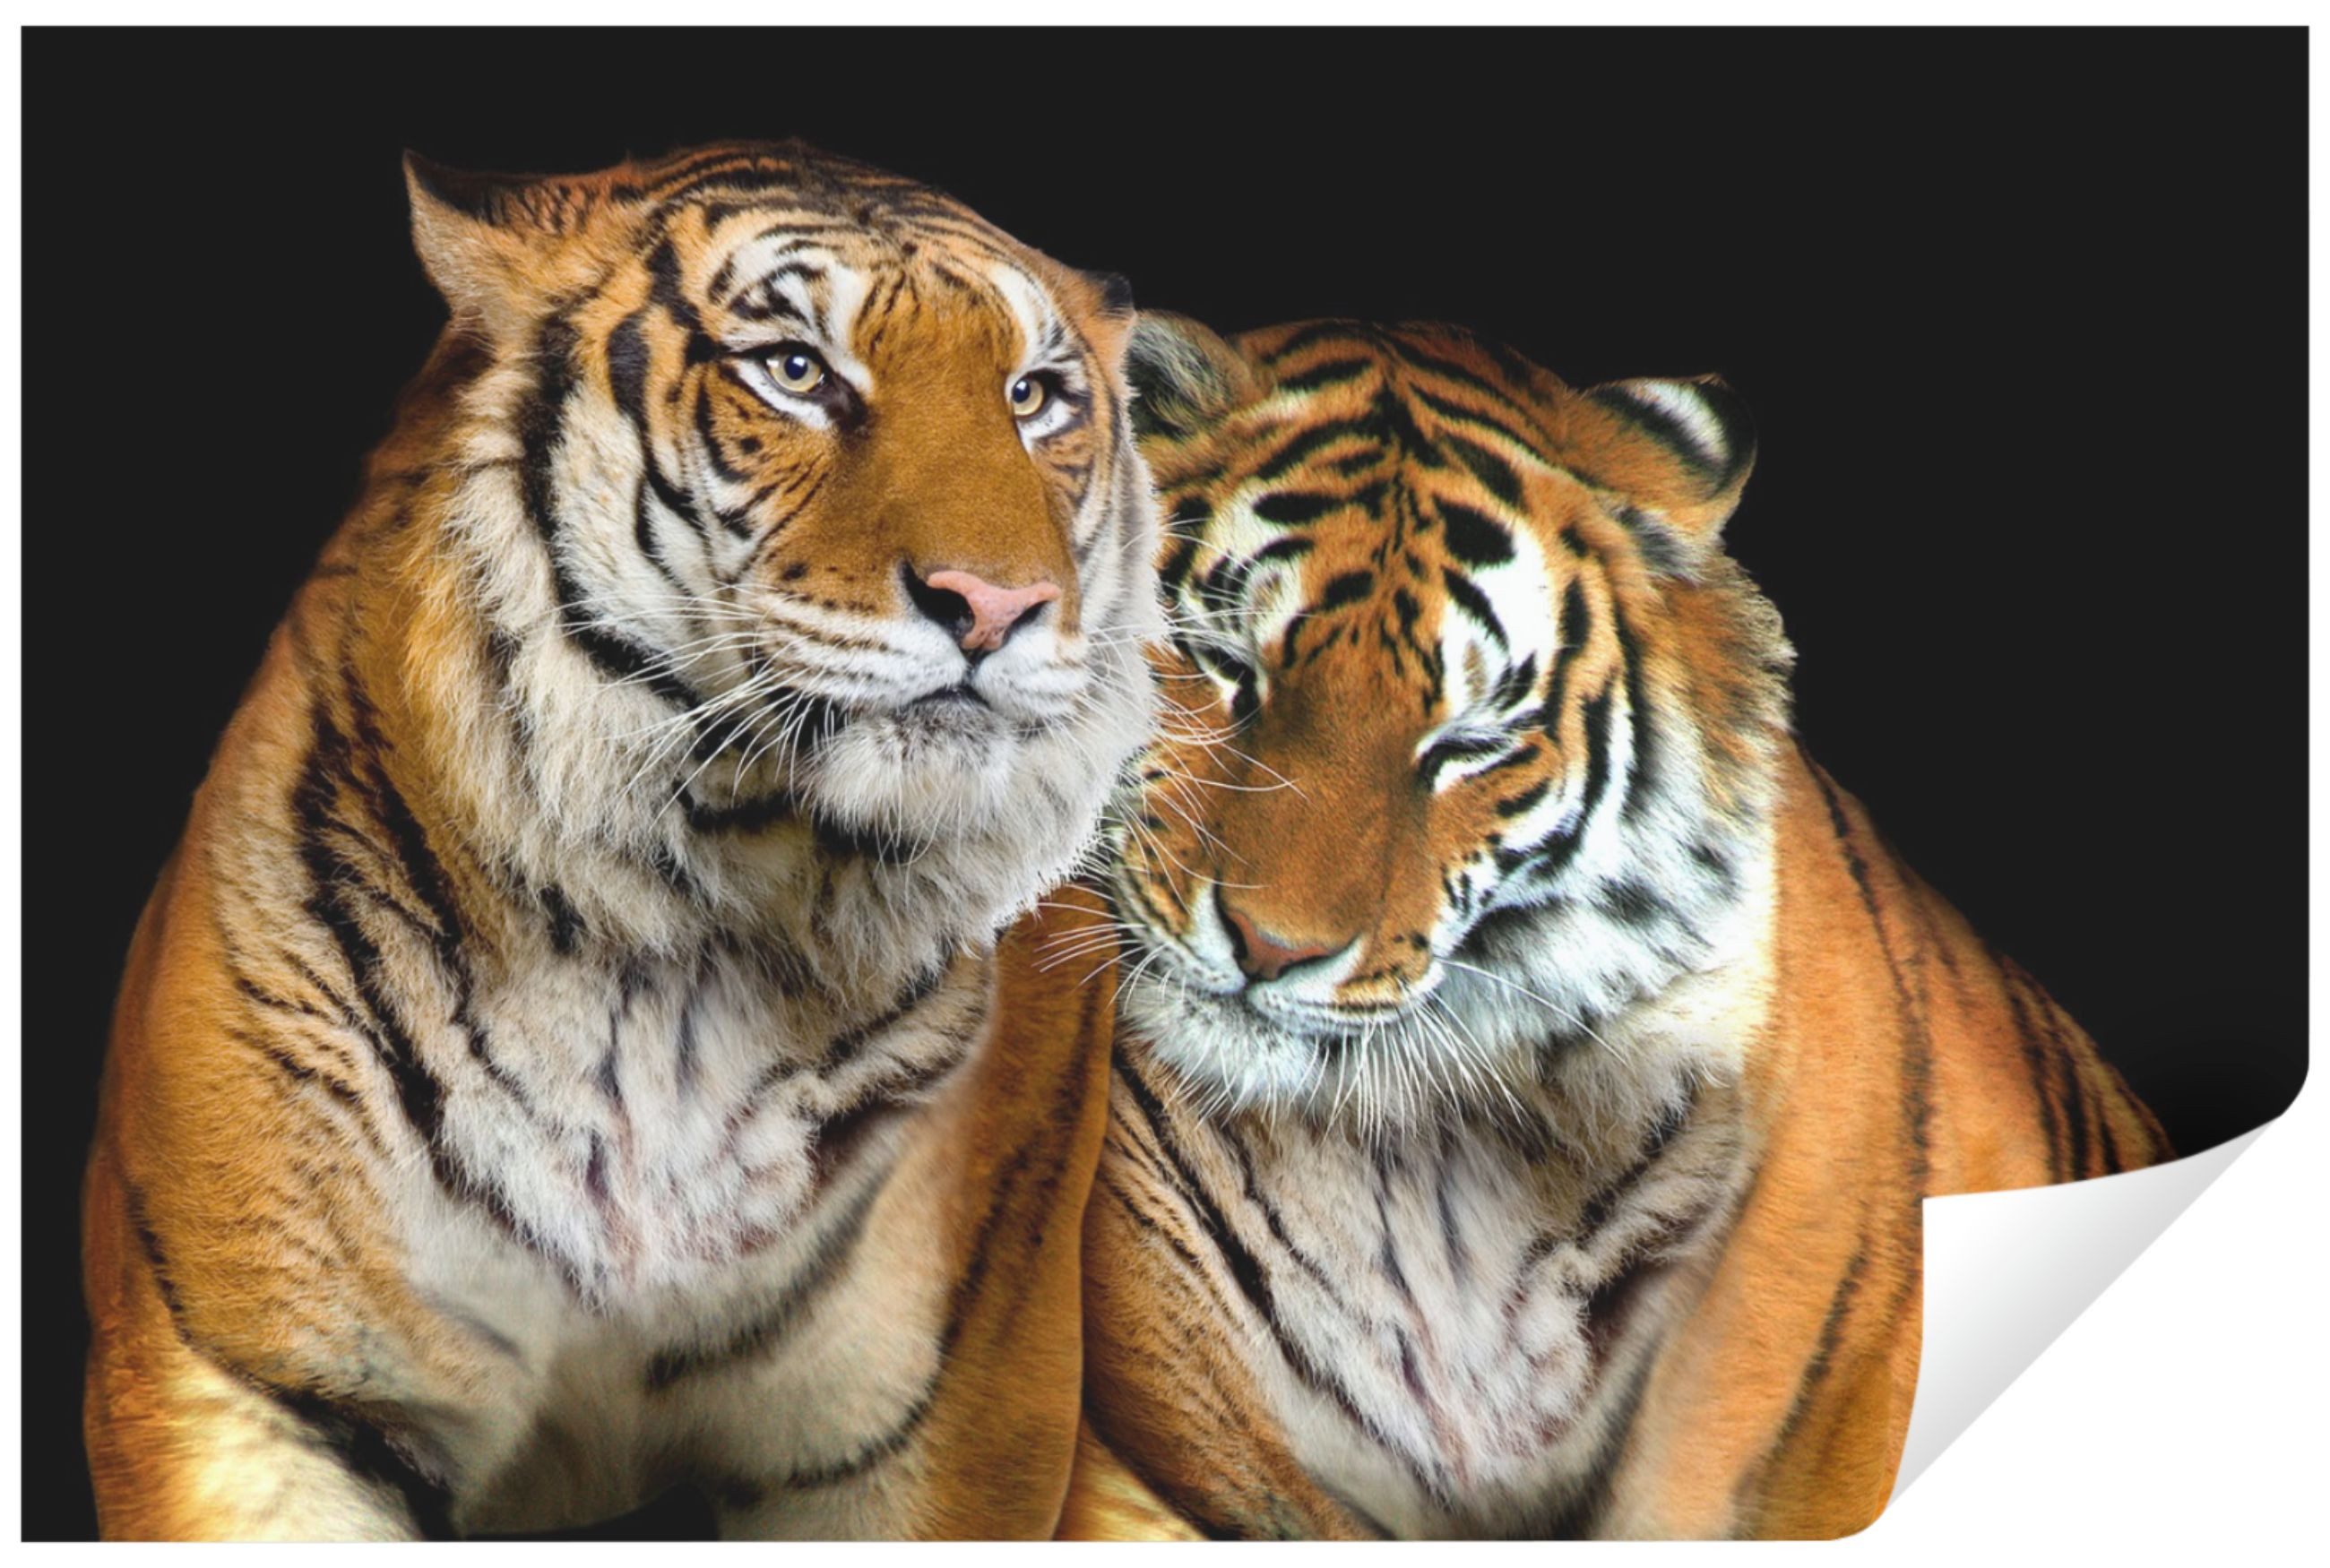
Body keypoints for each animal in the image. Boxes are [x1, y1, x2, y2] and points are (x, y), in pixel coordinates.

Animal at [79, 142, 1163, 1540]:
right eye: (795, 369)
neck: (685, 946)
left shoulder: (942, 1427)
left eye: (1032, 397)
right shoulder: (255, 1378)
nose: (997, 604)